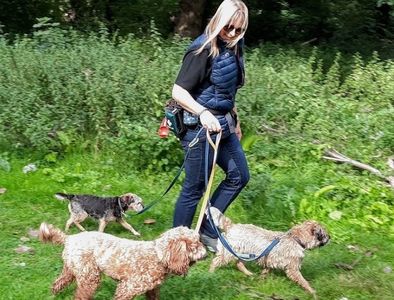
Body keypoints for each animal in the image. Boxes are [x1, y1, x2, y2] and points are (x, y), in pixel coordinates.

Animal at [38, 224, 208, 298]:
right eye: (196, 244)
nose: (206, 255)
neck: (157, 256)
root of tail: (69, 238)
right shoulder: (127, 288)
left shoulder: (152, 290)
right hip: (89, 277)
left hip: (71, 270)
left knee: (57, 283)